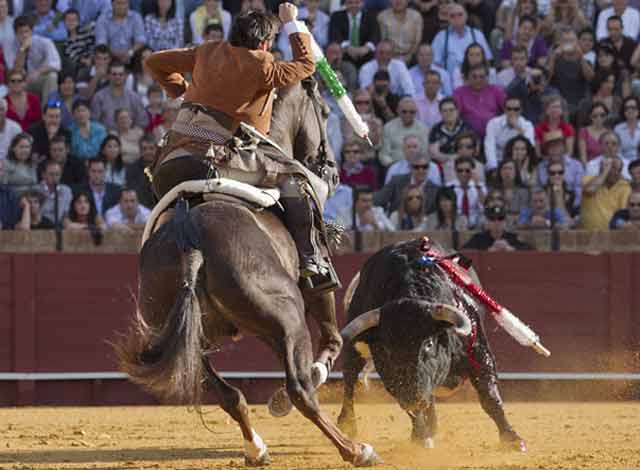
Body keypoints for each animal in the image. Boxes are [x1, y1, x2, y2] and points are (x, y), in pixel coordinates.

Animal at [115, 81, 380, 466]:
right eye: (326, 111)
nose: (331, 170)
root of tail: (191, 239)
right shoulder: (316, 289)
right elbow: (332, 339)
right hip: (287, 318)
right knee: (300, 390)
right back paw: (355, 449)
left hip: (185, 332)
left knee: (228, 394)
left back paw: (256, 448)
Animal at [338, 239, 528, 452]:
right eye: (385, 350)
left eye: (429, 344)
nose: (412, 396)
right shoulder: (396, 381)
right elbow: (413, 408)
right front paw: (421, 437)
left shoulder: (478, 351)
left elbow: (490, 396)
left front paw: (512, 438)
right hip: (353, 346)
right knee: (350, 377)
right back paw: (347, 424)